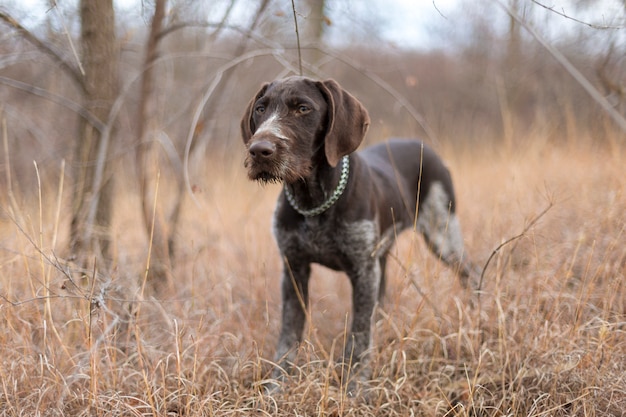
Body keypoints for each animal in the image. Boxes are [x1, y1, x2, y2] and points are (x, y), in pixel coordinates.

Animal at [239, 75, 472, 394]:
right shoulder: (294, 270)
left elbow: (359, 335)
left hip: (443, 234)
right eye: (261, 109)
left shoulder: (362, 271)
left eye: (303, 108)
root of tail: (428, 148)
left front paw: (355, 386)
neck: (313, 200)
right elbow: (289, 335)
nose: (259, 150)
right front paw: (278, 386)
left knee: (471, 272)